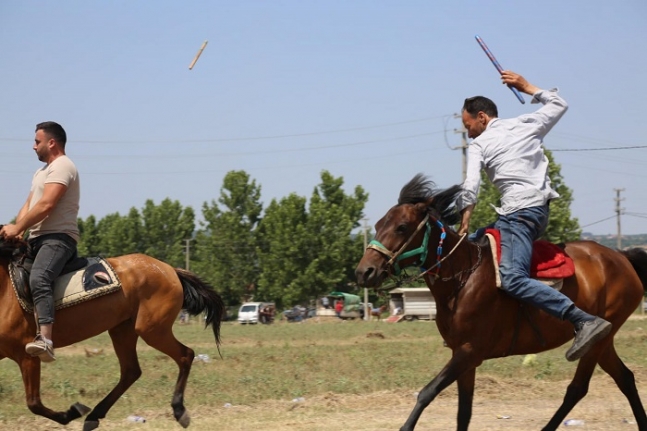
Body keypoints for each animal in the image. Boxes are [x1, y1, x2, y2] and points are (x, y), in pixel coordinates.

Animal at [0, 236, 225, 431]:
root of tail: (170, 270)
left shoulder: (26, 355)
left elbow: (33, 403)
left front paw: (73, 412)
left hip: (152, 330)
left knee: (185, 355)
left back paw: (179, 411)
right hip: (122, 330)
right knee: (131, 371)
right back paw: (95, 415)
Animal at [354, 176, 647, 431]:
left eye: (401, 227)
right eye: (377, 225)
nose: (364, 271)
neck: (463, 279)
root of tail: (620, 256)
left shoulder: (470, 351)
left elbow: (426, 393)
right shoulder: (462, 354)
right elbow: (464, 411)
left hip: (599, 339)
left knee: (577, 388)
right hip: (604, 343)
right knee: (625, 379)